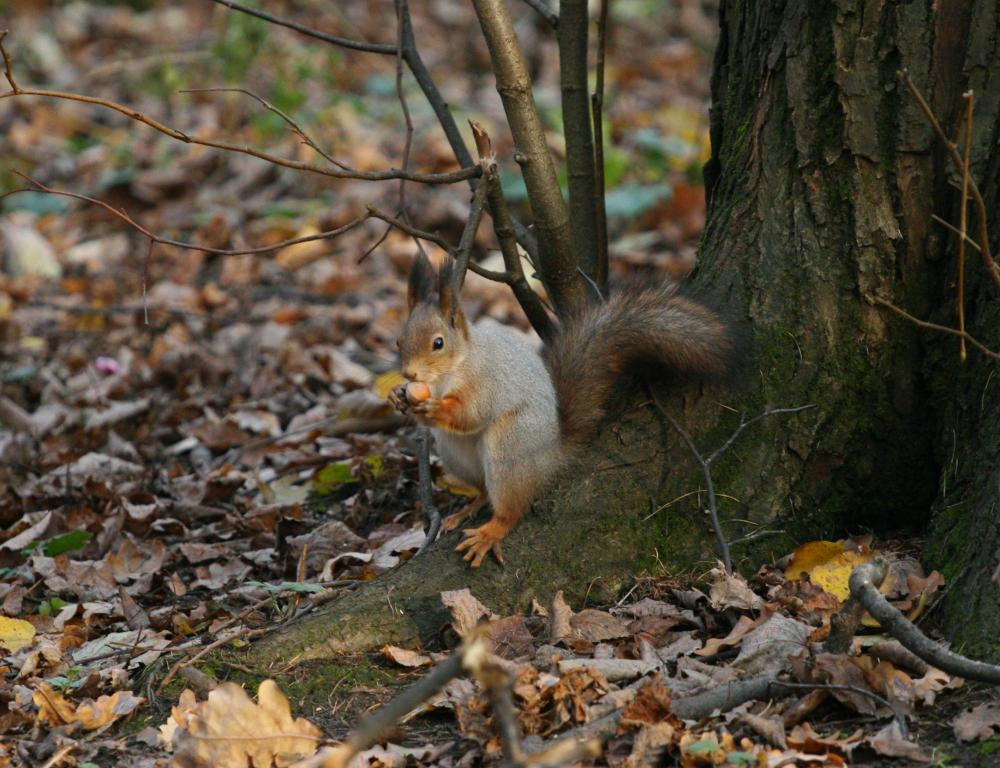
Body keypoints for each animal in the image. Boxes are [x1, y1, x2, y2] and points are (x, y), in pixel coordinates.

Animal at [388, 253, 732, 567]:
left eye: (438, 343)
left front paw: (434, 408)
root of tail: (551, 454)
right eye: (399, 341)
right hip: (456, 455)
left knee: (511, 508)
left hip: (510, 447)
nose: (409, 374)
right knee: (484, 489)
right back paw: (467, 509)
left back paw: (491, 531)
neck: (447, 374)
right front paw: (397, 396)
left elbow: (471, 414)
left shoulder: (485, 382)